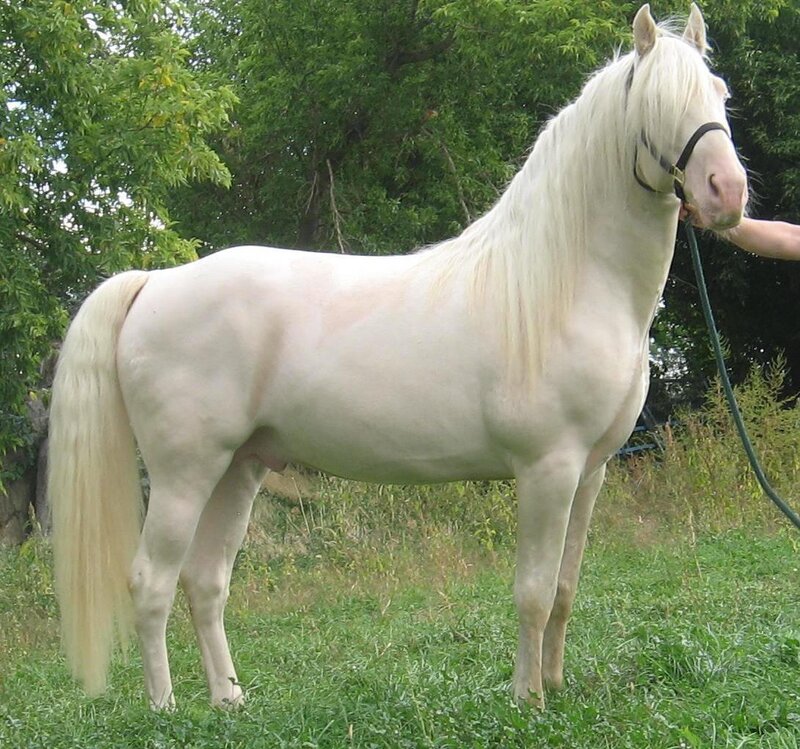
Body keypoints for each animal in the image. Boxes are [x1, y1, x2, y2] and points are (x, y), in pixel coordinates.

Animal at [48, 3, 748, 710]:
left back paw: (229, 702)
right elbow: (532, 592)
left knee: (205, 580)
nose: (727, 192)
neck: (563, 281)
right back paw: (166, 709)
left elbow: (565, 589)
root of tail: (155, 282)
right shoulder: (547, 467)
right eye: (658, 104)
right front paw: (527, 700)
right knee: (151, 581)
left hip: (237, 470)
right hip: (183, 474)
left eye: (719, 94)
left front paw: (553, 682)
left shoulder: (592, 471)